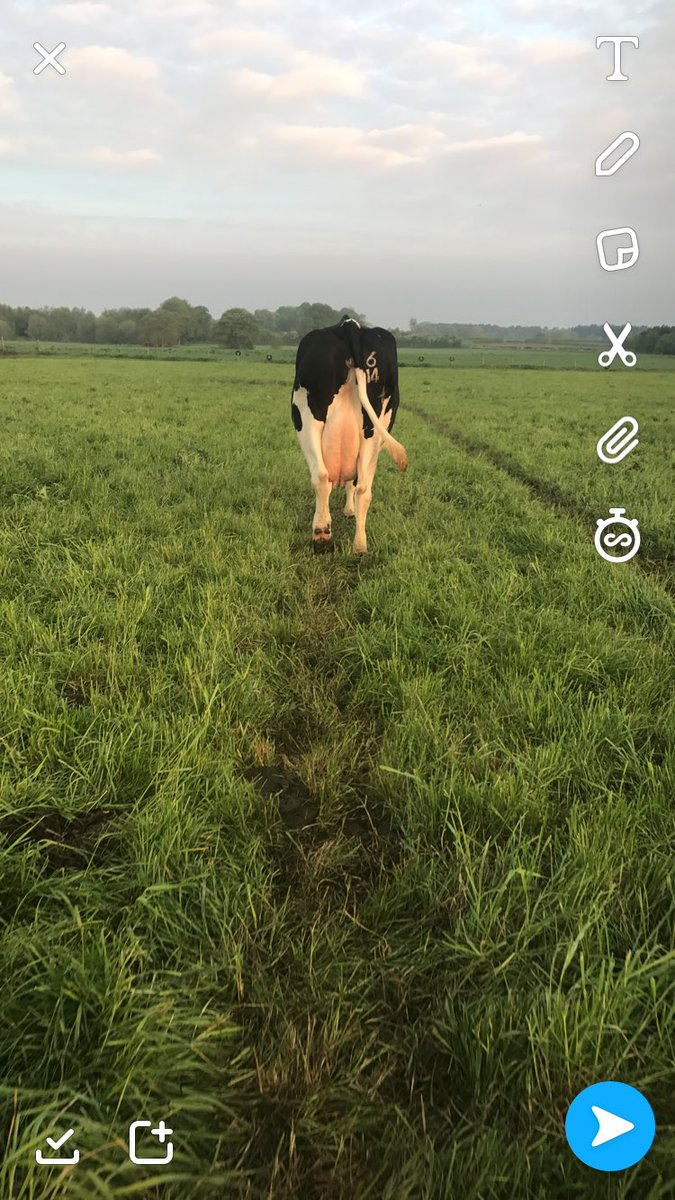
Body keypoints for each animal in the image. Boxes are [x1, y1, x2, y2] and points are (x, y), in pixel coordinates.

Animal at [291, 316, 408, 554]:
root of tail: (349, 324)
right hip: (370, 428)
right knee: (358, 486)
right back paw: (357, 543)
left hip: (309, 418)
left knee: (323, 476)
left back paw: (325, 532)